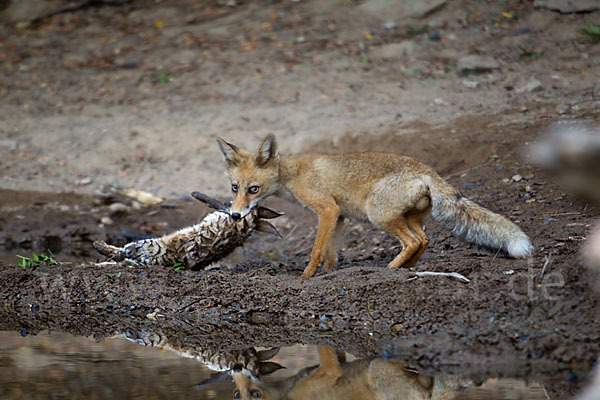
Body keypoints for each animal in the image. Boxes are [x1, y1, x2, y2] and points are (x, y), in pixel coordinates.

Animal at [217, 133, 536, 276]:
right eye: (235, 188)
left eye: (254, 189)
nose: (235, 215)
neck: (293, 173)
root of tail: (429, 171)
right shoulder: (339, 216)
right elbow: (331, 253)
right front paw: (329, 273)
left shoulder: (327, 210)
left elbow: (316, 250)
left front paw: (305, 277)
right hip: (410, 218)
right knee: (423, 240)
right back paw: (407, 267)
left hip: (378, 215)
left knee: (412, 241)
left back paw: (392, 268)